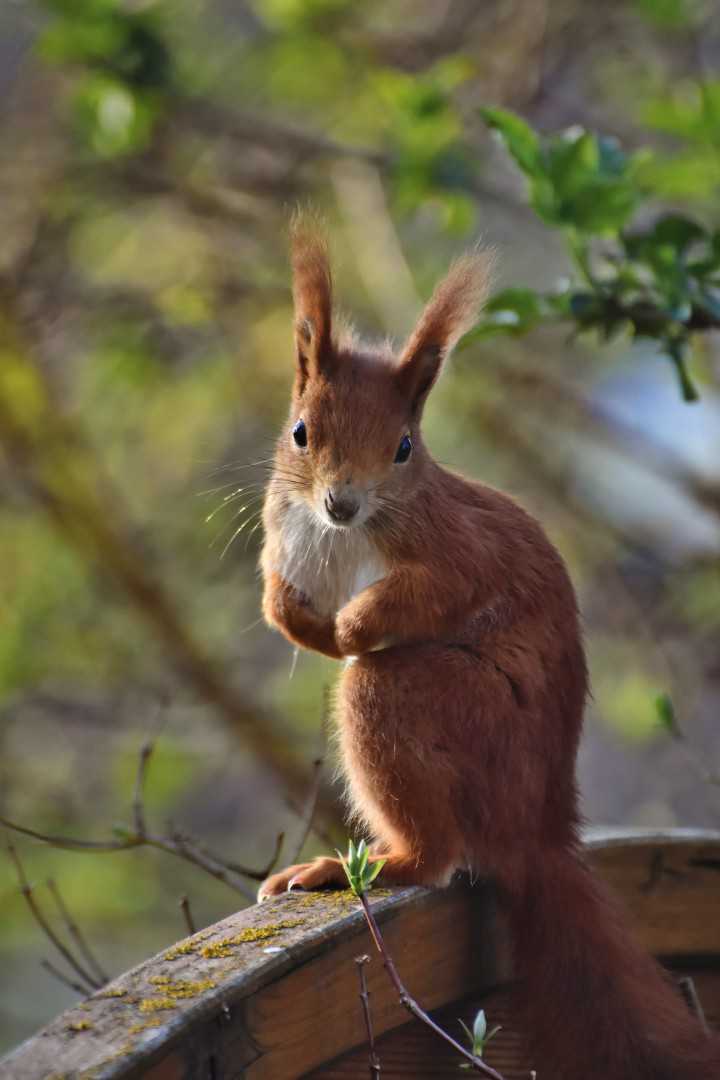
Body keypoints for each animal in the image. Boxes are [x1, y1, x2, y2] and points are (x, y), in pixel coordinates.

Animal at [255, 212, 716, 1080]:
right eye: (300, 432)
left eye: (404, 447)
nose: (340, 503)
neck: (347, 539)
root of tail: (537, 831)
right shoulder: (285, 537)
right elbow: (278, 603)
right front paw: (304, 624)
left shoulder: (457, 555)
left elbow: (428, 597)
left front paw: (352, 629)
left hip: (441, 706)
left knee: (432, 842)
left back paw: (357, 864)